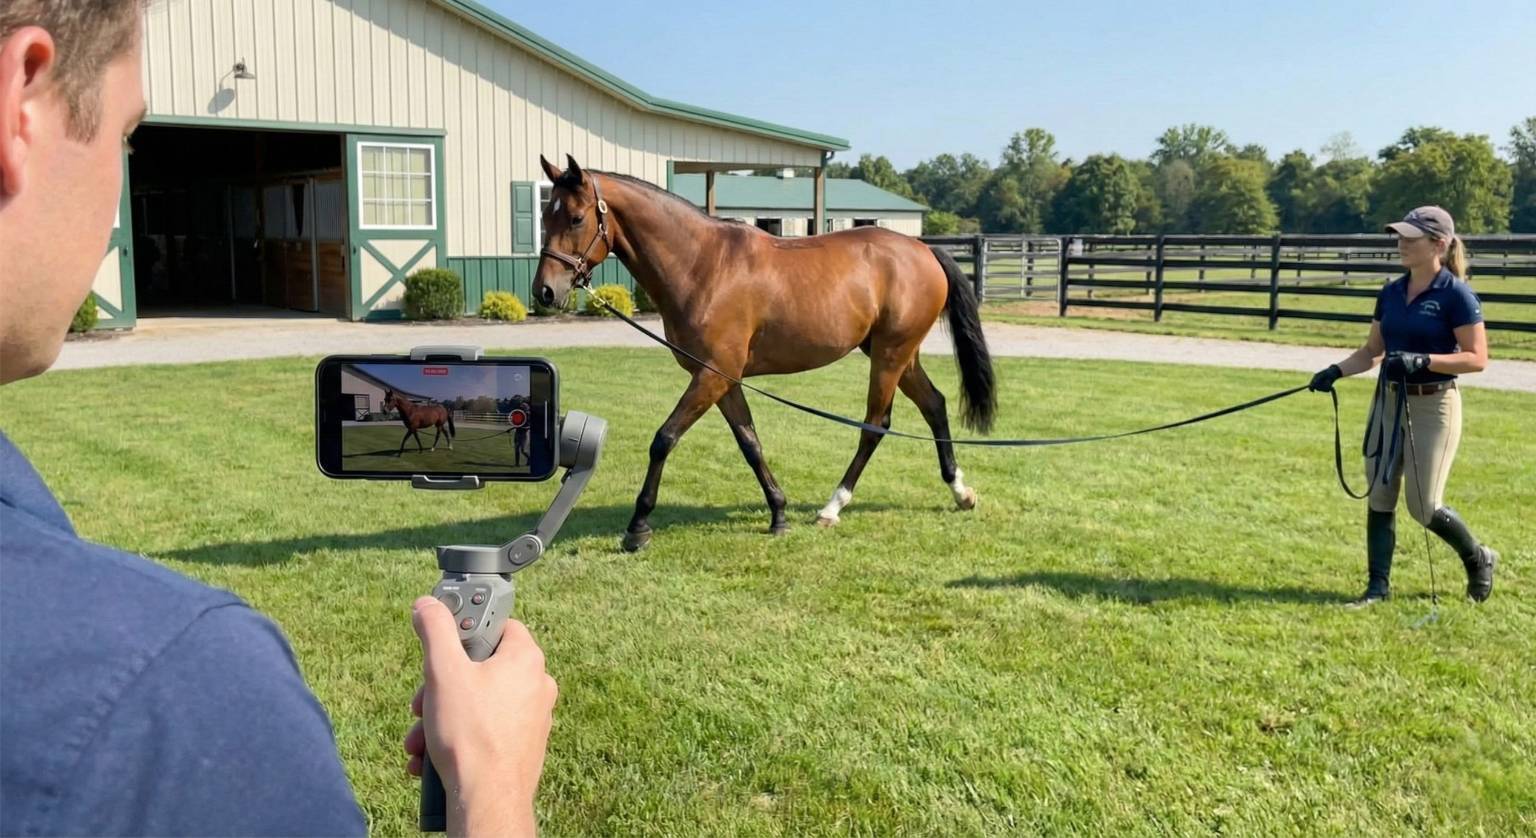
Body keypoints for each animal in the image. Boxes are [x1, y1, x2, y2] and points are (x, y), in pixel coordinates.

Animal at [533, 155, 996, 552]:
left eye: (576, 217)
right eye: (543, 215)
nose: (545, 291)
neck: (702, 265)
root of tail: (923, 250)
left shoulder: (712, 374)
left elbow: (664, 439)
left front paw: (637, 527)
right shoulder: (723, 378)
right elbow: (749, 443)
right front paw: (778, 513)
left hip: (889, 355)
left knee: (875, 425)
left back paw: (833, 507)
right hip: (898, 354)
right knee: (934, 405)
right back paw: (960, 491)